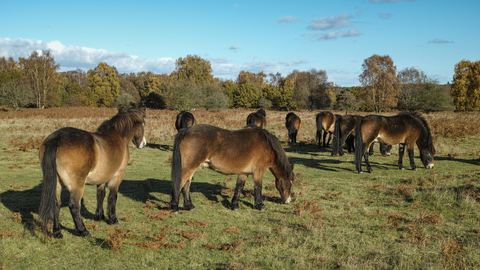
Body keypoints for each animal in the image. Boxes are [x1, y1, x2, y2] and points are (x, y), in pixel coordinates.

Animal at [38, 106, 146, 237]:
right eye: (143, 124)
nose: (143, 143)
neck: (118, 136)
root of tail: (56, 139)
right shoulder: (117, 176)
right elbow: (112, 197)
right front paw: (113, 219)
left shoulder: (102, 177)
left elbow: (100, 195)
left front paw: (99, 216)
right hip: (77, 185)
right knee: (74, 205)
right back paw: (83, 230)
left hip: (57, 183)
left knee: (56, 204)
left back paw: (57, 232)